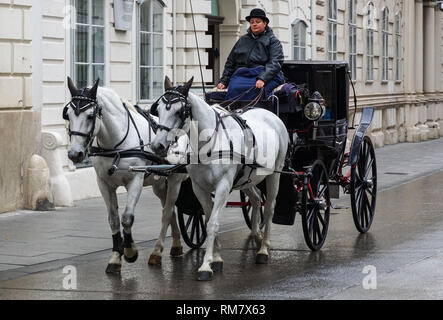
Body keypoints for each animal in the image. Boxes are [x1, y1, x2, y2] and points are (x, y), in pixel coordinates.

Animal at [63, 76, 186, 274]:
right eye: (68, 115)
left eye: (90, 116)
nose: (75, 154)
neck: (116, 146)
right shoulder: (104, 184)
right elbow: (113, 219)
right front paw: (115, 257)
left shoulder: (135, 180)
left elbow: (127, 218)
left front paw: (129, 251)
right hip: (160, 184)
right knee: (170, 210)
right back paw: (175, 245)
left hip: (175, 180)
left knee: (167, 212)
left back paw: (158, 251)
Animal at [152, 75, 292, 280]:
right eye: (159, 109)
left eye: (180, 112)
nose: (158, 145)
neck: (209, 141)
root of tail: (270, 114)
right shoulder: (199, 188)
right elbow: (209, 217)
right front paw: (216, 258)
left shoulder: (223, 186)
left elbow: (213, 223)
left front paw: (205, 266)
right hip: (247, 178)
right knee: (256, 199)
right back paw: (255, 234)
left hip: (275, 173)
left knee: (269, 209)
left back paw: (263, 249)